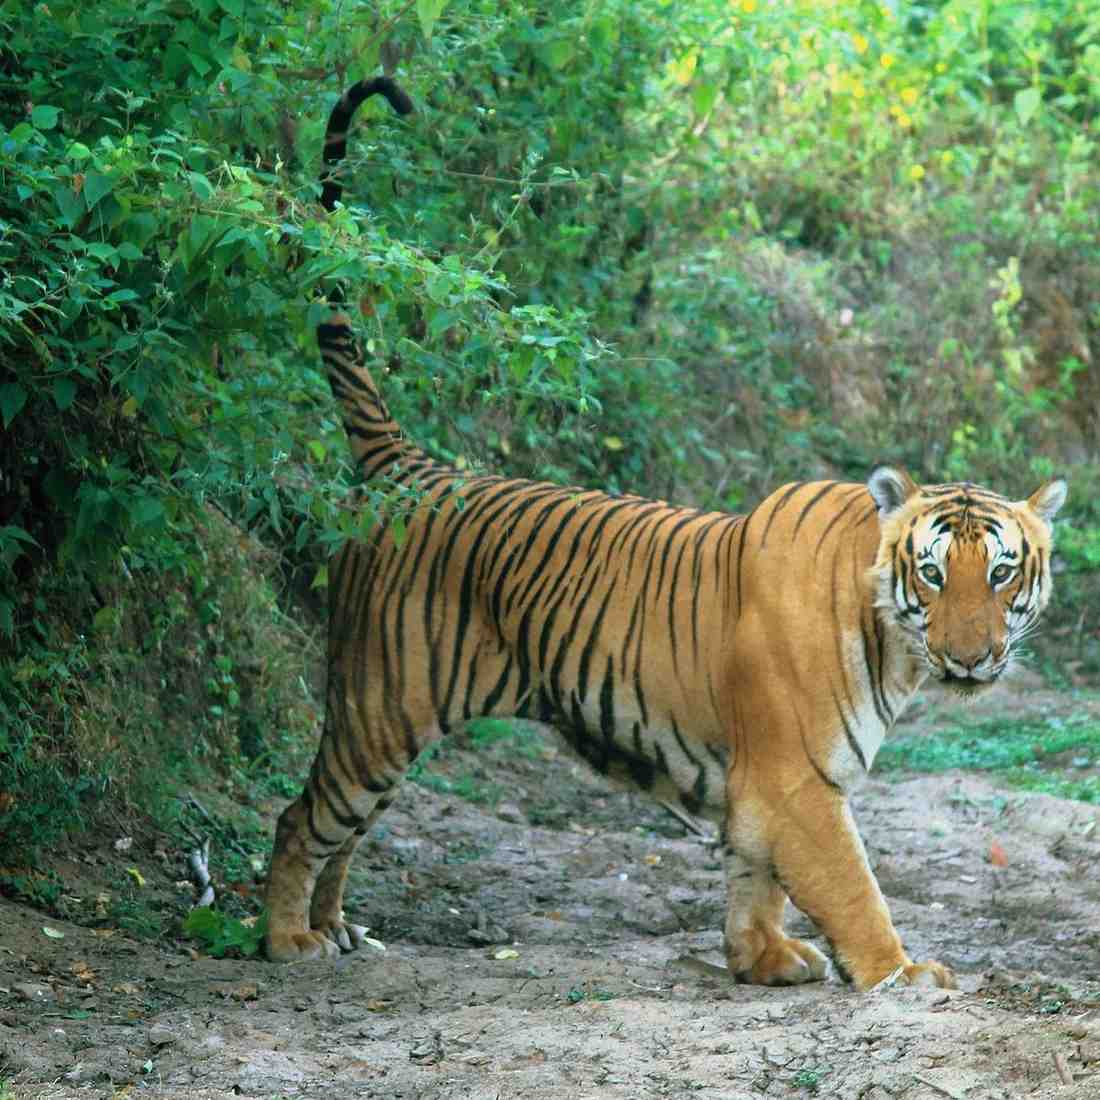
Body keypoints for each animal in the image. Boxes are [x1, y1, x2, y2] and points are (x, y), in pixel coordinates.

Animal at [259, 75, 1064, 990]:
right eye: (932, 573)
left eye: (1001, 573)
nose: (970, 657)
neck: (891, 641)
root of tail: (411, 463)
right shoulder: (796, 781)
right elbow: (853, 888)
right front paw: (901, 972)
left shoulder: (762, 788)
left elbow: (755, 878)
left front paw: (762, 958)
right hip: (379, 707)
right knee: (303, 816)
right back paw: (287, 940)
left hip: (393, 730)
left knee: (345, 832)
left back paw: (336, 927)